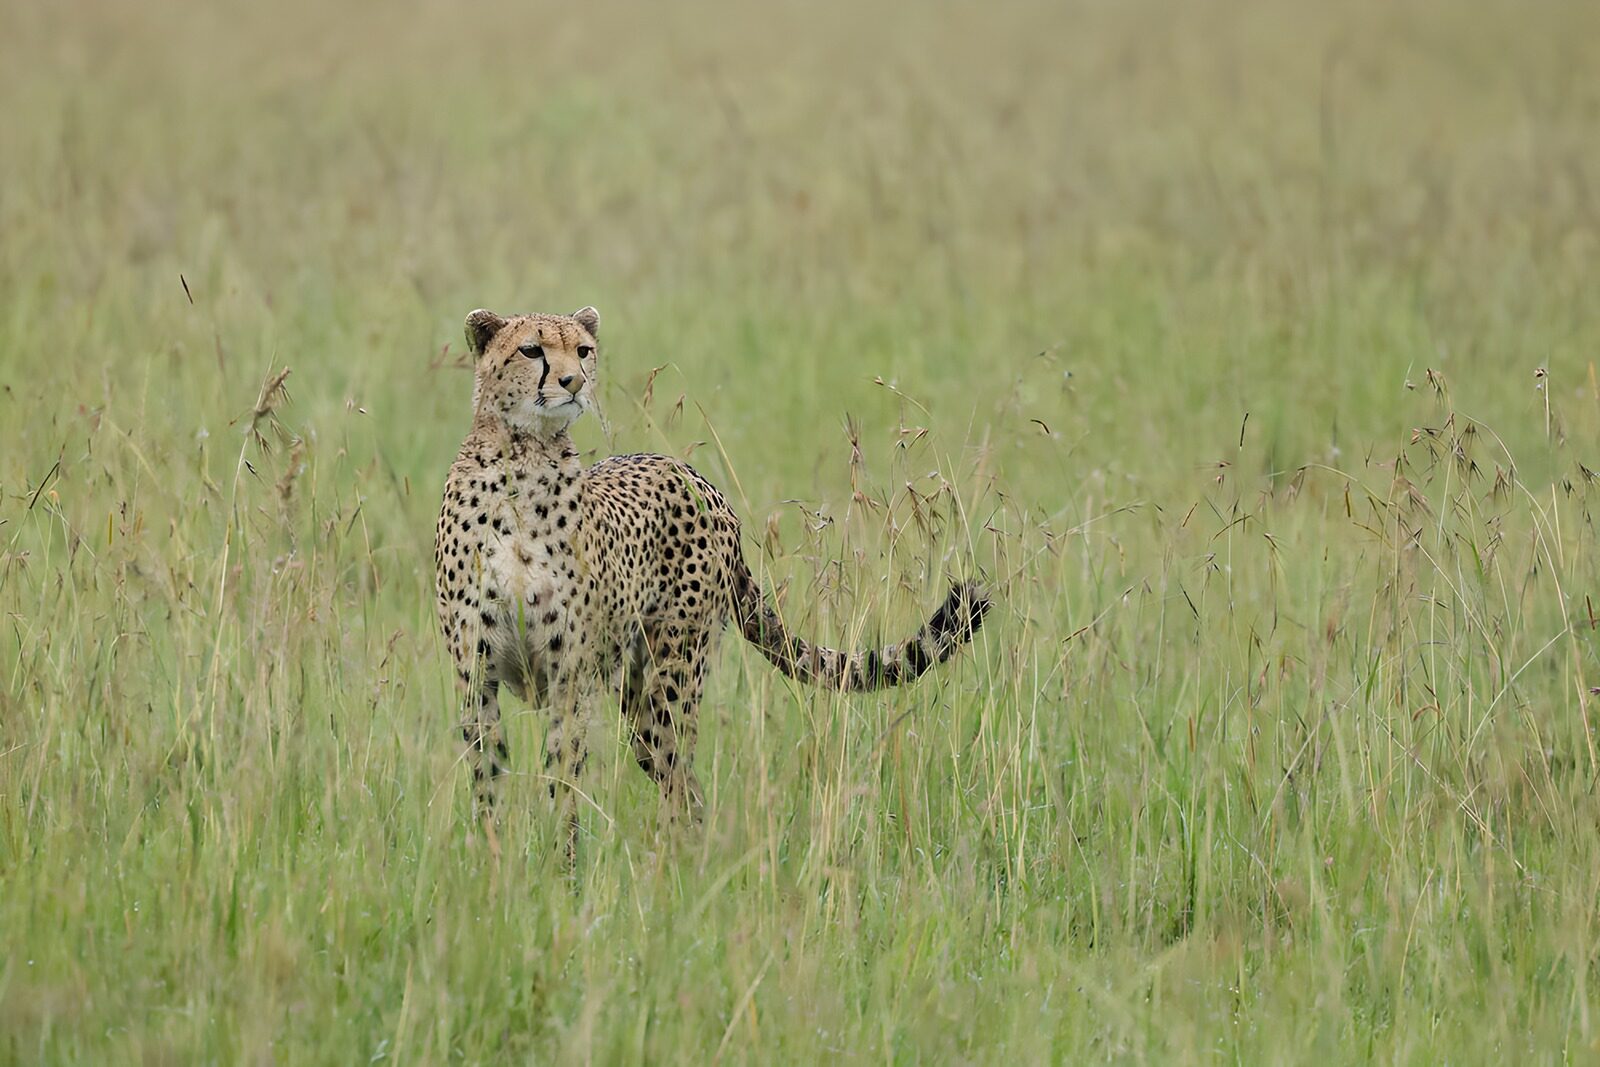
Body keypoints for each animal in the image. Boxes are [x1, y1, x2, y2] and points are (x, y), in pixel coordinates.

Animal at [434, 305, 990, 858]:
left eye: (583, 350)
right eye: (532, 350)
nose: (574, 382)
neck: (521, 461)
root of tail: (697, 477)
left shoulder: (570, 674)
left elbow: (562, 776)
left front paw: (560, 863)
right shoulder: (475, 672)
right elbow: (487, 773)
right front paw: (493, 860)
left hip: (671, 675)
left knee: (679, 776)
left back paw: (677, 862)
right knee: (678, 777)